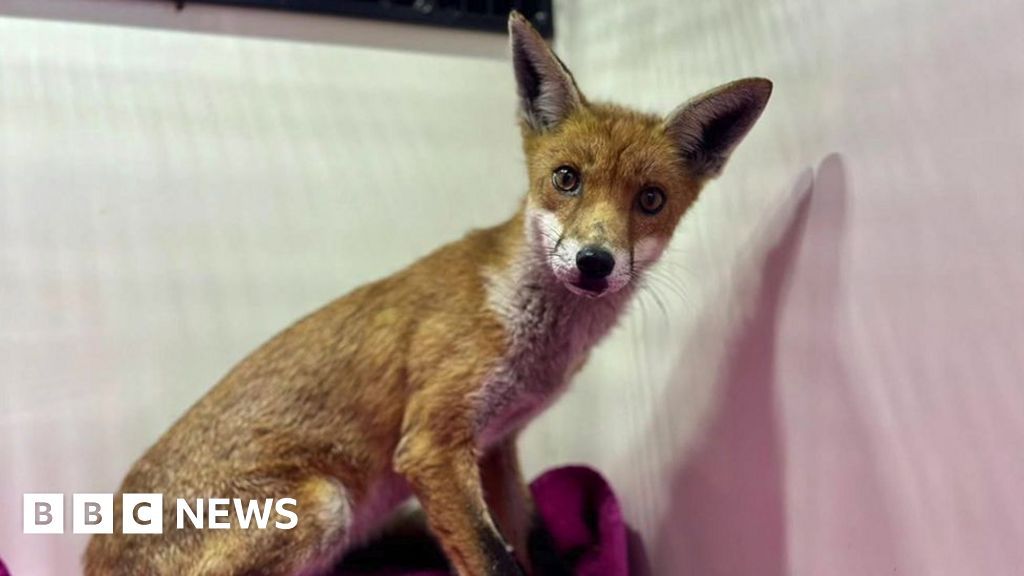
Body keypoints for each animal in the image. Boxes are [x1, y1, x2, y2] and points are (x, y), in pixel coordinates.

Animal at [84, 11, 771, 576]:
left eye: (650, 199)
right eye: (567, 179)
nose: (595, 263)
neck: (531, 341)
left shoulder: (495, 448)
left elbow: (527, 543)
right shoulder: (431, 447)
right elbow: (495, 562)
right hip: (325, 503)